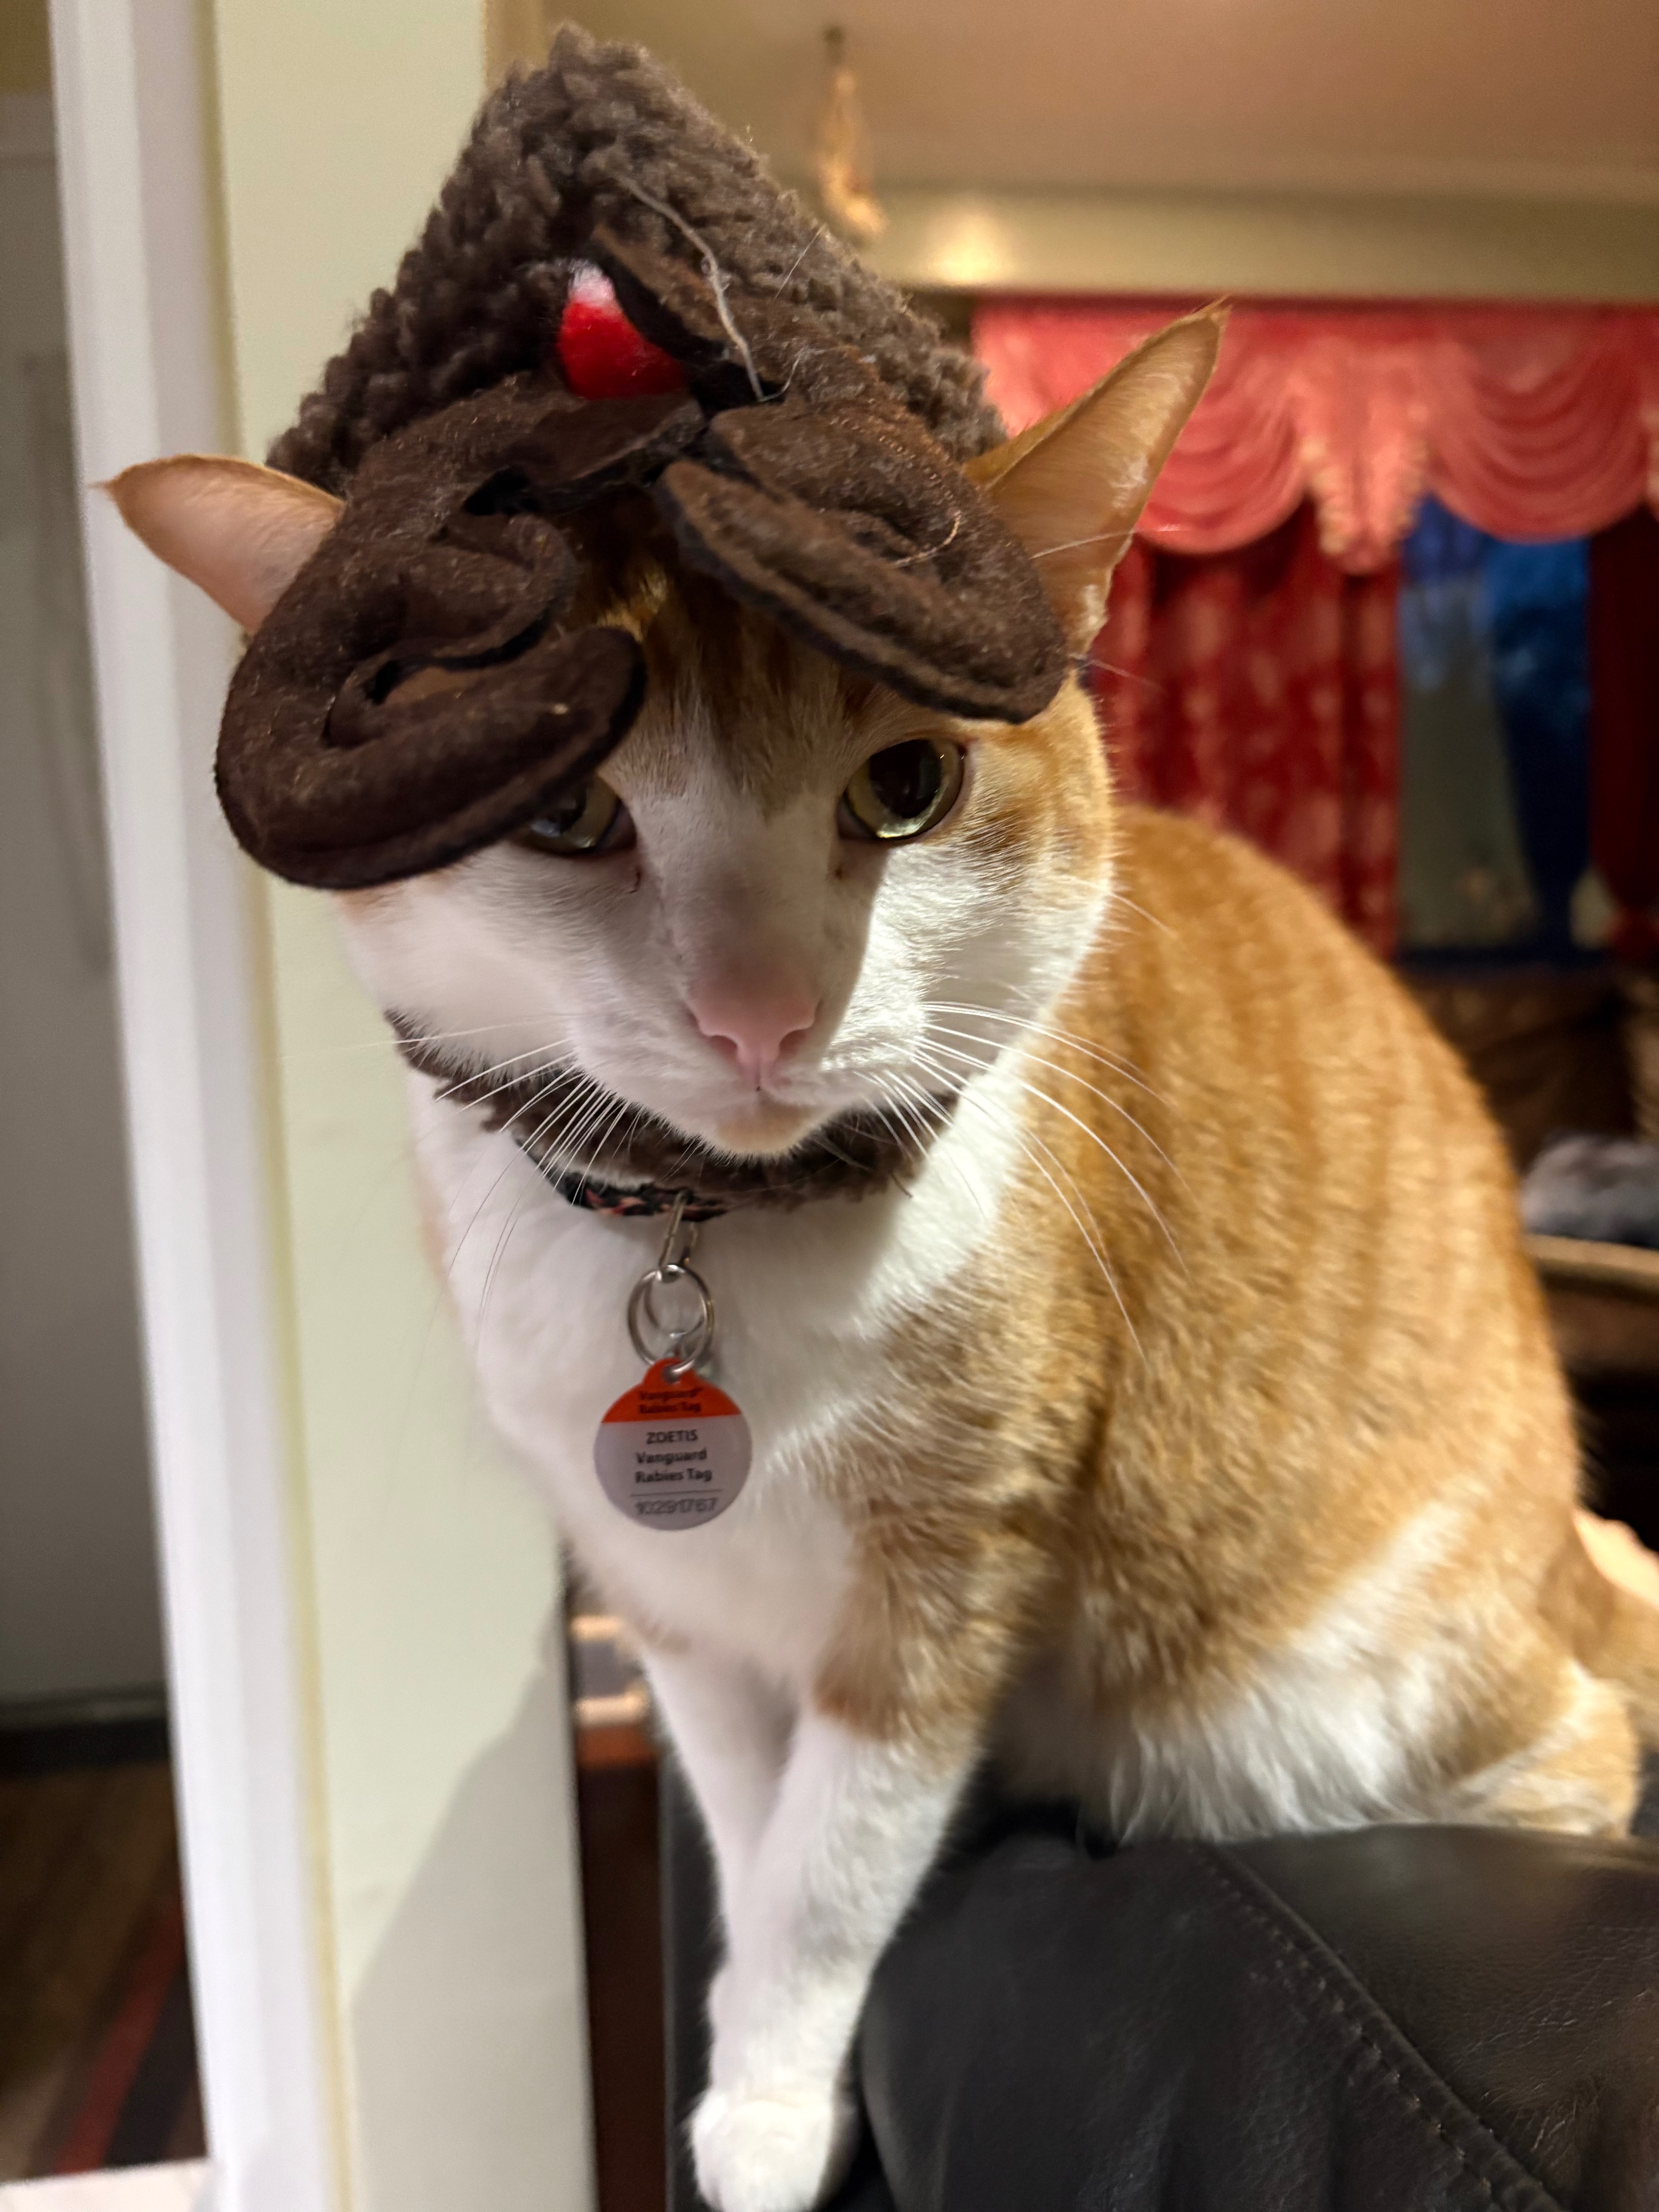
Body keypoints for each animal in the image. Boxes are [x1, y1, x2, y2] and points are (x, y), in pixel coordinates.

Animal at [114, 314, 1659, 2212]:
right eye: (564, 807)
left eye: (904, 784)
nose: (761, 1011)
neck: (715, 1237)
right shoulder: (675, 1605)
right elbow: (746, 1816)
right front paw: (748, 2037)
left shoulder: (948, 1577)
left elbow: (831, 1859)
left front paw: (769, 2106)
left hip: (1295, 1717)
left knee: (1580, 1738)